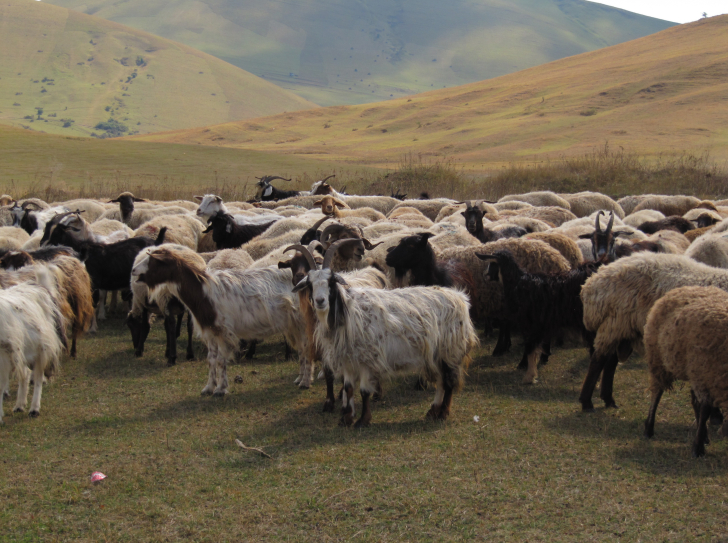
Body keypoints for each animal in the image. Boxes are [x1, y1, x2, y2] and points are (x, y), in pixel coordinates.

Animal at [0, 268, 66, 420]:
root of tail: (40, 286)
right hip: (22, 351)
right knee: (25, 374)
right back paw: (20, 405)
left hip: (42, 350)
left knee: (37, 378)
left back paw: (34, 409)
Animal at [132, 246, 306, 396]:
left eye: (153, 261)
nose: (133, 270)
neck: (204, 292)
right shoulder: (211, 332)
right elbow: (211, 360)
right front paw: (209, 387)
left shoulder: (223, 331)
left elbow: (221, 361)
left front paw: (221, 389)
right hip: (295, 324)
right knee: (302, 349)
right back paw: (300, 378)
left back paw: (305, 381)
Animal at [292, 241, 480, 424]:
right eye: (309, 284)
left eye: (331, 281)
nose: (320, 301)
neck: (348, 313)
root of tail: (461, 298)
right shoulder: (348, 360)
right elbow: (349, 388)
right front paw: (346, 418)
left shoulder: (367, 358)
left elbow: (364, 391)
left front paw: (363, 420)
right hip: (436, 354)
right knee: (441, 381)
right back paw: (433, 411)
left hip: (450, 350)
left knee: (448, 382)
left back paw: (443, 413)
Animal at [580, 254, 728, 412]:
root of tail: (593, 281)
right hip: (614, 322)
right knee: (598, 359)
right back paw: (587, 402)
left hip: (623, 330)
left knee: (610, 361)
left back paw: (608, 399)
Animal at [644, 286, 728, 456]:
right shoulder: (705, 376)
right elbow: (705, 410)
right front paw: (698, 449)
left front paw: (700, 441)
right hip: (659, 360)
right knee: (657, 393)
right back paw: (649, 428)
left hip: (693, 369)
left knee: (694, 401)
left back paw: (704, 436)